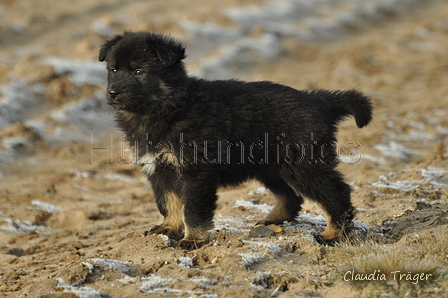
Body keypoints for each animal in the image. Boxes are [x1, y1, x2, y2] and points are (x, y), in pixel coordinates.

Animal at [100, 31, 372, 249]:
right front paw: (169, 228)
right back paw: (272, 220)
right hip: (272, 166)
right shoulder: (159, 168)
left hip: (302, 164)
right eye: (113, 70)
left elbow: (193, 209)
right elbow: (168, 202)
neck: (167, 106)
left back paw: (333, 234)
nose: (112, 93)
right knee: (292, 197)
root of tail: (318, 100)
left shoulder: (196, 171)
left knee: (335, 194)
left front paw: (192, 239)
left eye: (139, 71)